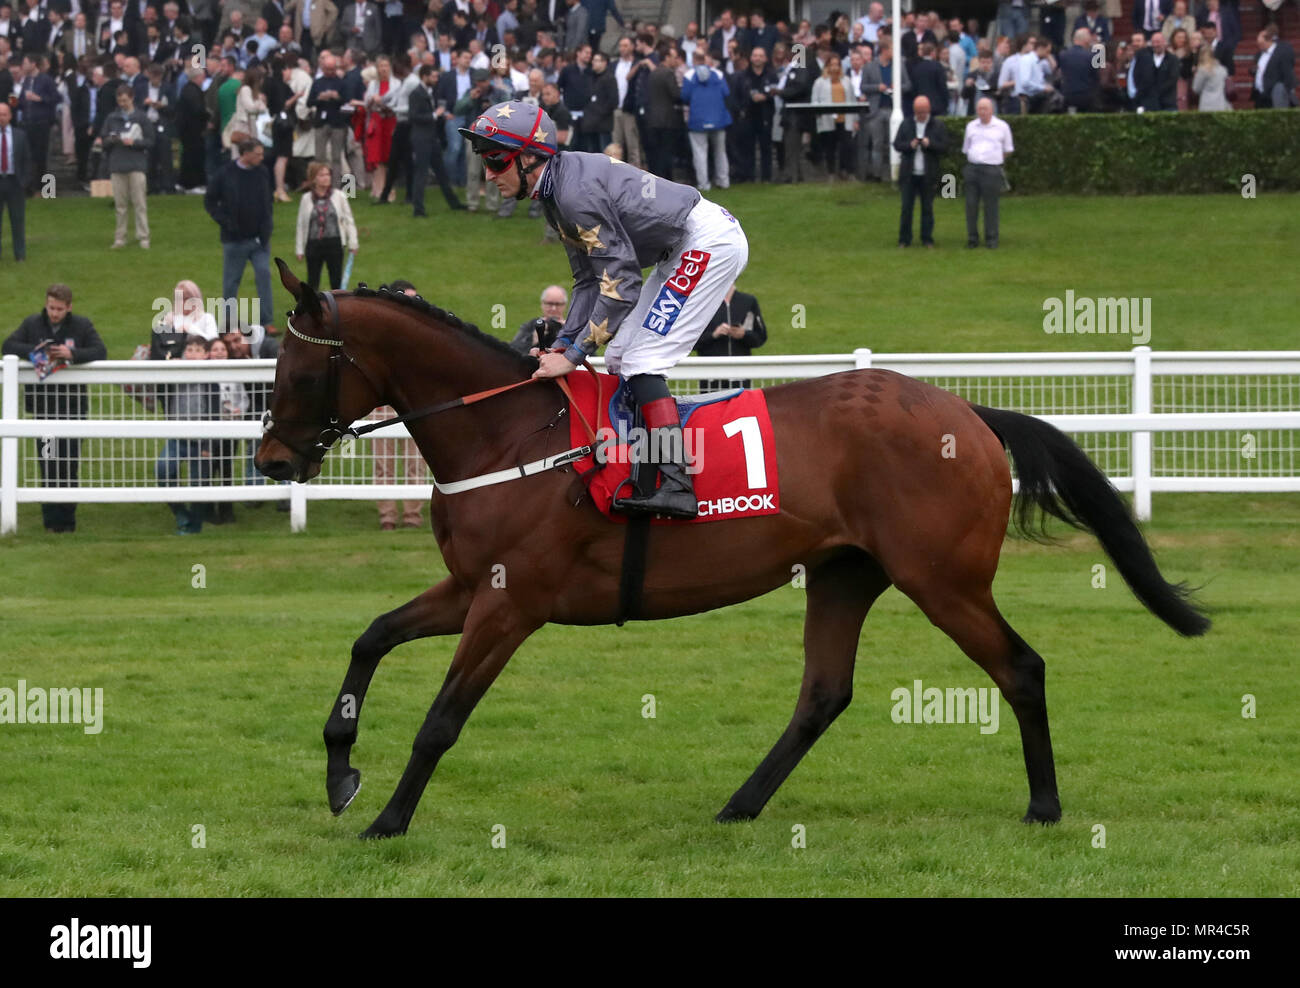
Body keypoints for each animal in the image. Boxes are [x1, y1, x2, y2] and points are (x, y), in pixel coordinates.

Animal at [258, 258, 1211, 837]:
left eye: (297, 371)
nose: (270, 461)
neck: (505, 434)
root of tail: (968, 413)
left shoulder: (510, 603)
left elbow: (442, 720)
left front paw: (388, 819)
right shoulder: (471, 586)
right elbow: (371, 638)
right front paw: (341, 774)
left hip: (943, 580)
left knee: (1021, 668)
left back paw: (1045, 806)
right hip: (844, 576)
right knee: (824, 695)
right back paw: (740, 804)